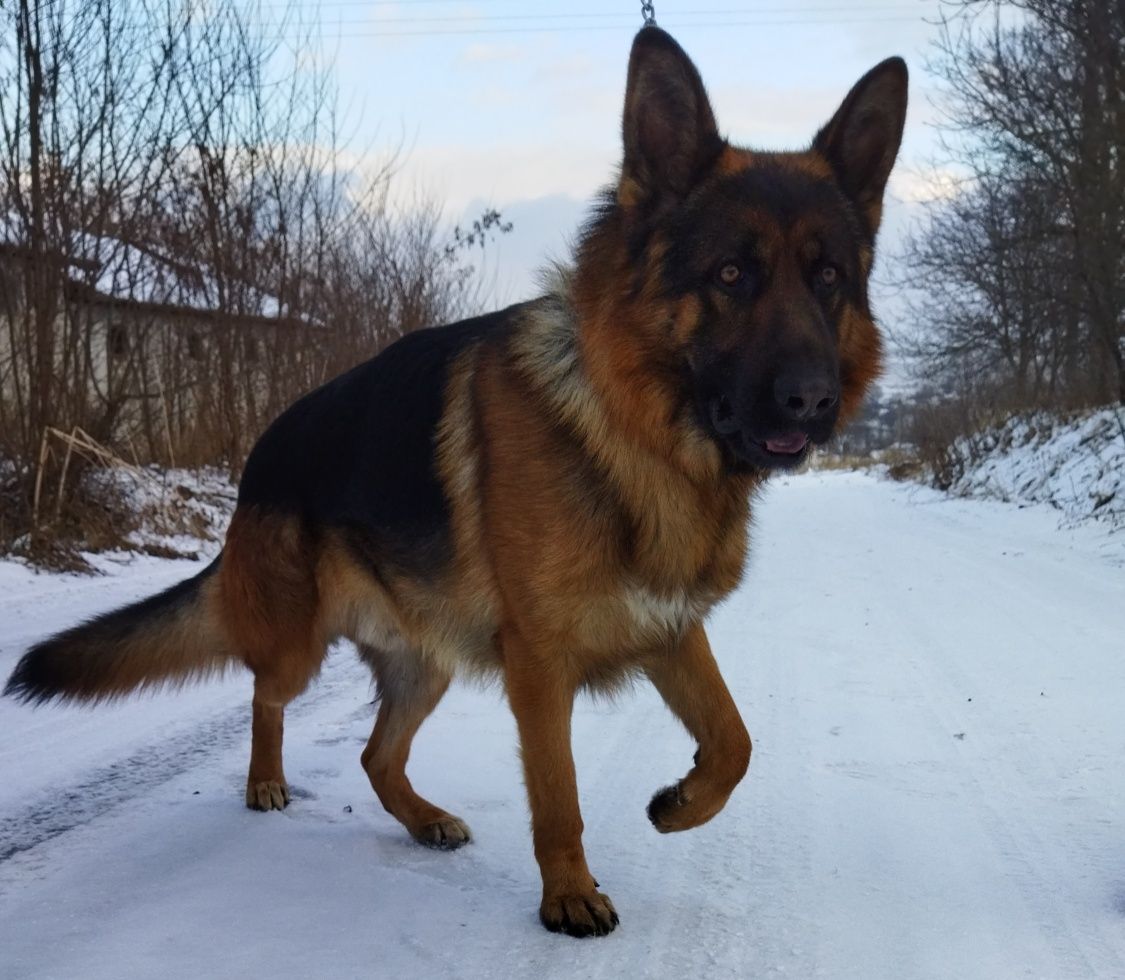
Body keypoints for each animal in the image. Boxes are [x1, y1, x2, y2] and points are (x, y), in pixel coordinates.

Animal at [4, 26, 909, 940]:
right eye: (729, 275)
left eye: (828, 277)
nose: (812, 401)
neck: (636, 434)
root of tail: (261, 456)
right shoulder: (539, 664)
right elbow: (559, 795)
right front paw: (568, 894)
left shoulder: (667, 629)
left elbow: (735, 741)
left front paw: (679, 803)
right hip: (298, 642)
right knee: (266, 694)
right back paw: (266, 781)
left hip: (426, 664)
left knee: (376, 753)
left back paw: (424, 818)